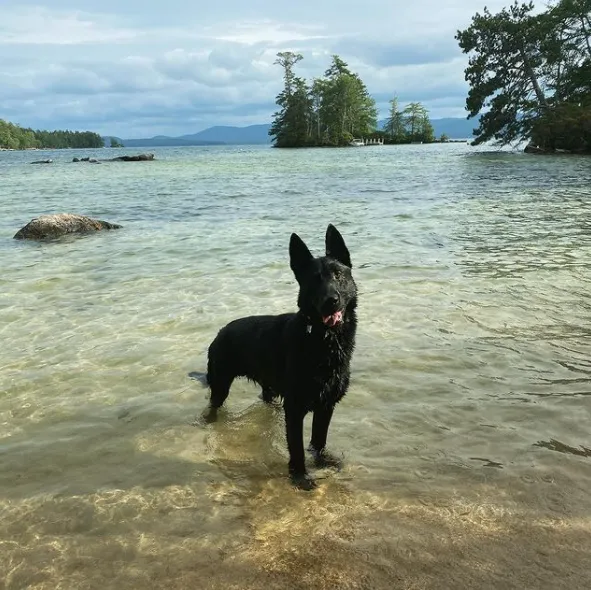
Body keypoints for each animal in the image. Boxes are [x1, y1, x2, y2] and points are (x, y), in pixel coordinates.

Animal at [206, 225, 358, 490]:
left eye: (338, 275)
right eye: (314, 280)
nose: (331, 301)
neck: (322, 340)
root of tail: (220, 332)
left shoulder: (326, 405)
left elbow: (318, 440)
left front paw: (321, 462)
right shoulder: (295, 410)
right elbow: (297, 448)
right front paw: (299, 477)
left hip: (269, 389)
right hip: (221, 385)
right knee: (213, 406)